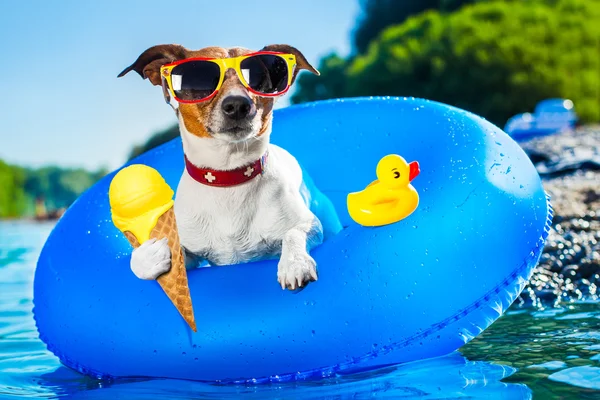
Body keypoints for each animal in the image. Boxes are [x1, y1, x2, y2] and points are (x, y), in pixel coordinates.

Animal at [119, 43, 326, 290]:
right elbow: (150, 261)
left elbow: (293, 233)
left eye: (259, 78)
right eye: (199, 78)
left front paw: (295, 263)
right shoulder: (192, 252)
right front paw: (152, 256)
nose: (237, 105)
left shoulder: (310, 224)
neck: (229, 177)